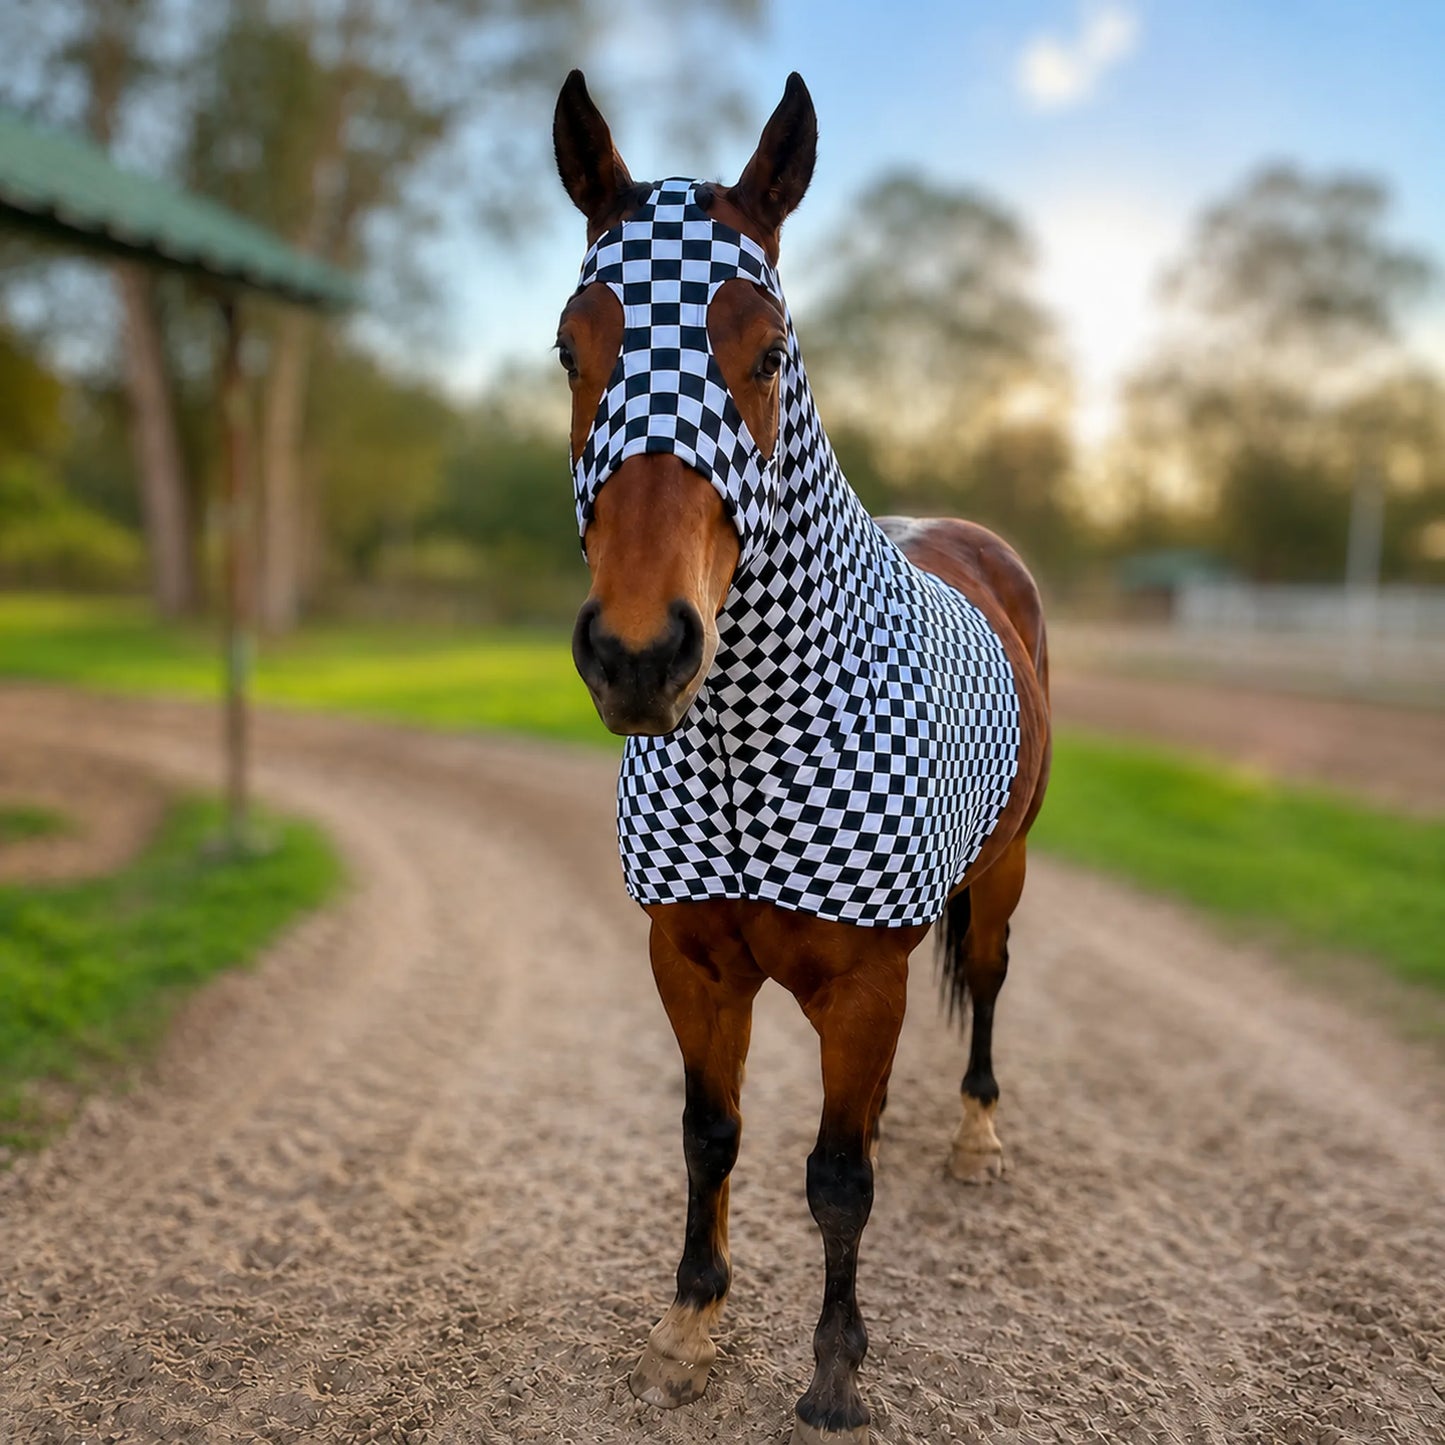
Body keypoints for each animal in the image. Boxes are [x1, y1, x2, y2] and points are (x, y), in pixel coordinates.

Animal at [552, 70, 1051, 1445]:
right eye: (571, 347)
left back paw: (978, 1136)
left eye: (767, 352)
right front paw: (687, 1325)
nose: (637, 652)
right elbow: (709, 1135)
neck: (752, 742)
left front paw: (833, 1372)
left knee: (989, 982)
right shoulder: (690, 963)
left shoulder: (864, 981)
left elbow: (835, 1179)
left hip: (1002, 870)